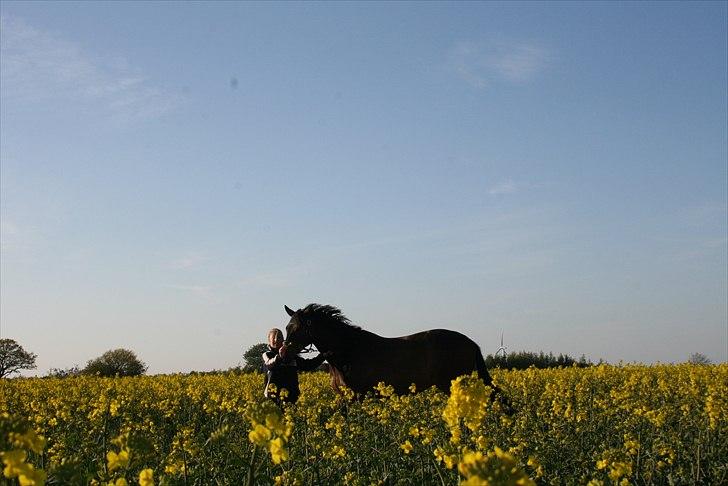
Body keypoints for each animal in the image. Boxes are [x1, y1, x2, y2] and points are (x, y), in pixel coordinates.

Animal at [282, 304, 510, 402]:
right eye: (287, 327)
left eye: (296, 328)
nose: (283, 353)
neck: (347, 349)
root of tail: (471, 343)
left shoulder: (358, 396)